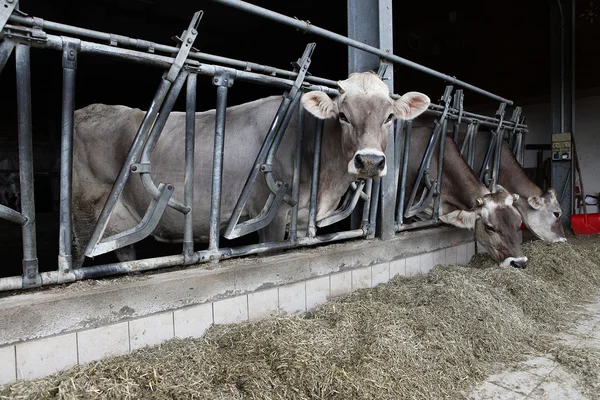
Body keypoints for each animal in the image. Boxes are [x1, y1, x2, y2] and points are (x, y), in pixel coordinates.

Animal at [72, 72, 432, 266]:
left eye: (389, 117)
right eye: (343, 115)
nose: (369, 161)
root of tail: (86, 110)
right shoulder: (270, 213)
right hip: (83, 217)